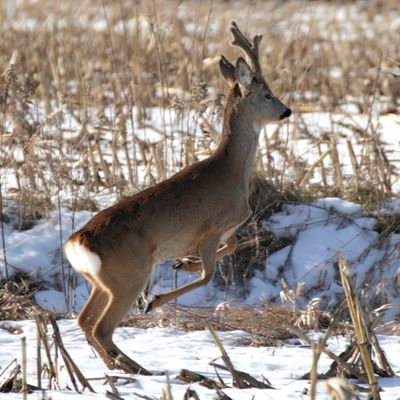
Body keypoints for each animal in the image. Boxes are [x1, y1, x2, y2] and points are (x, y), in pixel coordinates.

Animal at [65, 21, 290, 376]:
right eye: (268, 94)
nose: (286, 111)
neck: (232, 172)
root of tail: (77, 243)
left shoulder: (220, 232)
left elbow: (233, 246)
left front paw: (183, 262)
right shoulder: (211, 228)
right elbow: (209, 274)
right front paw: (155, 300)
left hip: (100, 282)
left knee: (85, 321)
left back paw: (123, 367)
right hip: (129, 274)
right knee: (100, 327)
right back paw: (137, 367)